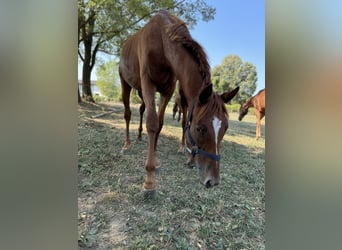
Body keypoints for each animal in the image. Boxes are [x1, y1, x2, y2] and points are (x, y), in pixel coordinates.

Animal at [119, 10, 239, 195]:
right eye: (200, 128)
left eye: (225, 128)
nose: (212, 181)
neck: (162, 42)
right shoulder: (148, 84)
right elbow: (152, 123)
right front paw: (149, 181)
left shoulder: (167, 91)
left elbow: (159, 124)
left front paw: (155, 161)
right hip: (125, 84)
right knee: (127, 114)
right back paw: (126, 144)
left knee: (141, 109)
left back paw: (139, 136)